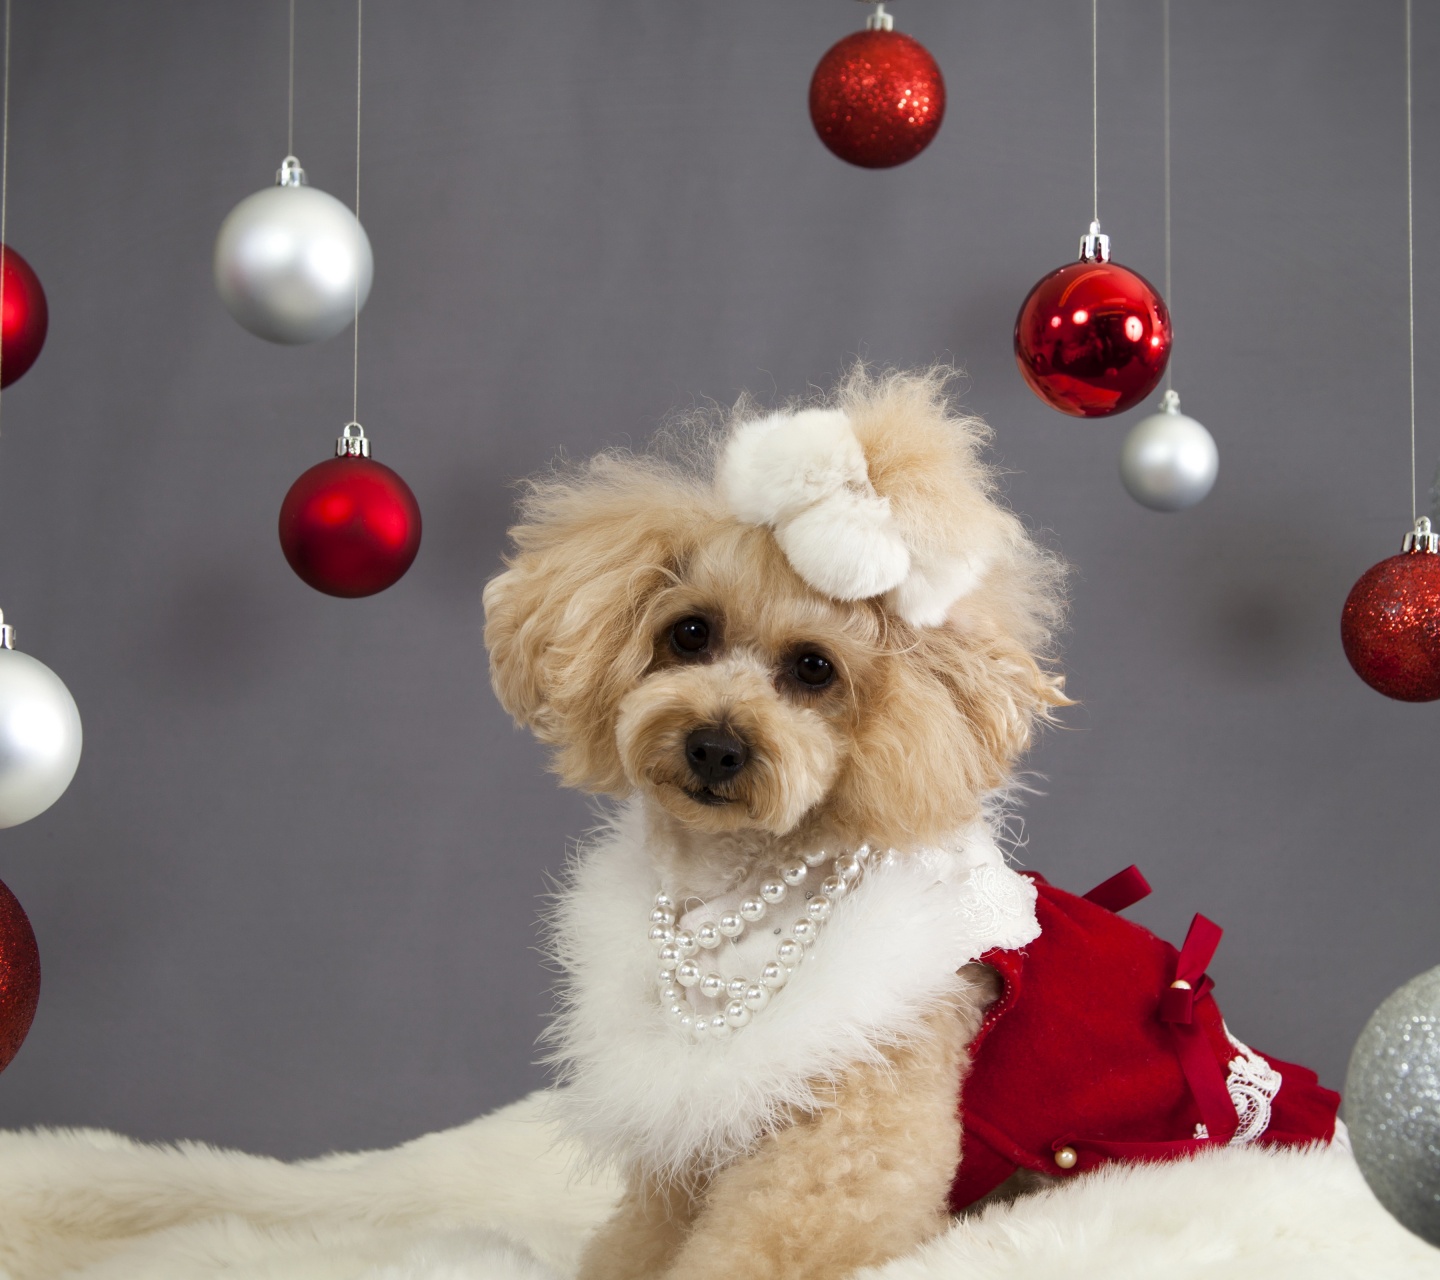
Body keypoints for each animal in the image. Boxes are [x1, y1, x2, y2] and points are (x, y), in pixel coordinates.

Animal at [480, 364, 1071, 1272]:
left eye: (814, 668)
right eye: (690, 632)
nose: (715, 746)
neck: (740, 889)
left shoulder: (851, 1125)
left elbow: (775, 1237)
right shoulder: (694, 1129)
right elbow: (644, 1234)